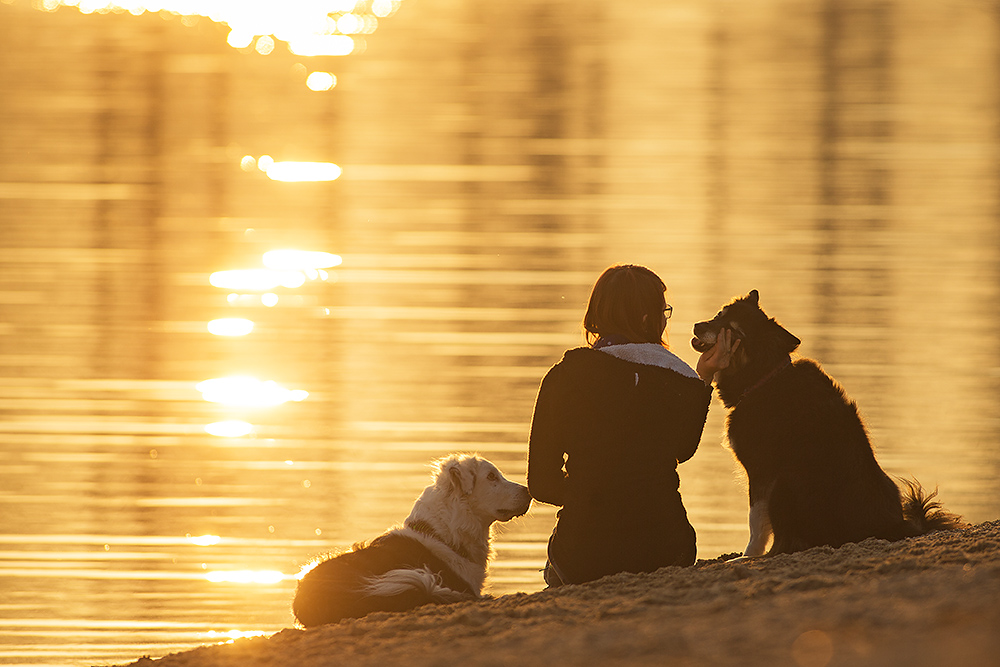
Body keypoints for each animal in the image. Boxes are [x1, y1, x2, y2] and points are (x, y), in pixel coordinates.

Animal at [692, 290, 964, 556]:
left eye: (734, 331)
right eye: (720, 314)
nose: (697, 326)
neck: (764, 377)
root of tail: (892, 526)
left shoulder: (761, 471)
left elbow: (756, 524)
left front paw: (749, 554)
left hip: (786, 482)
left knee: (787, 541)